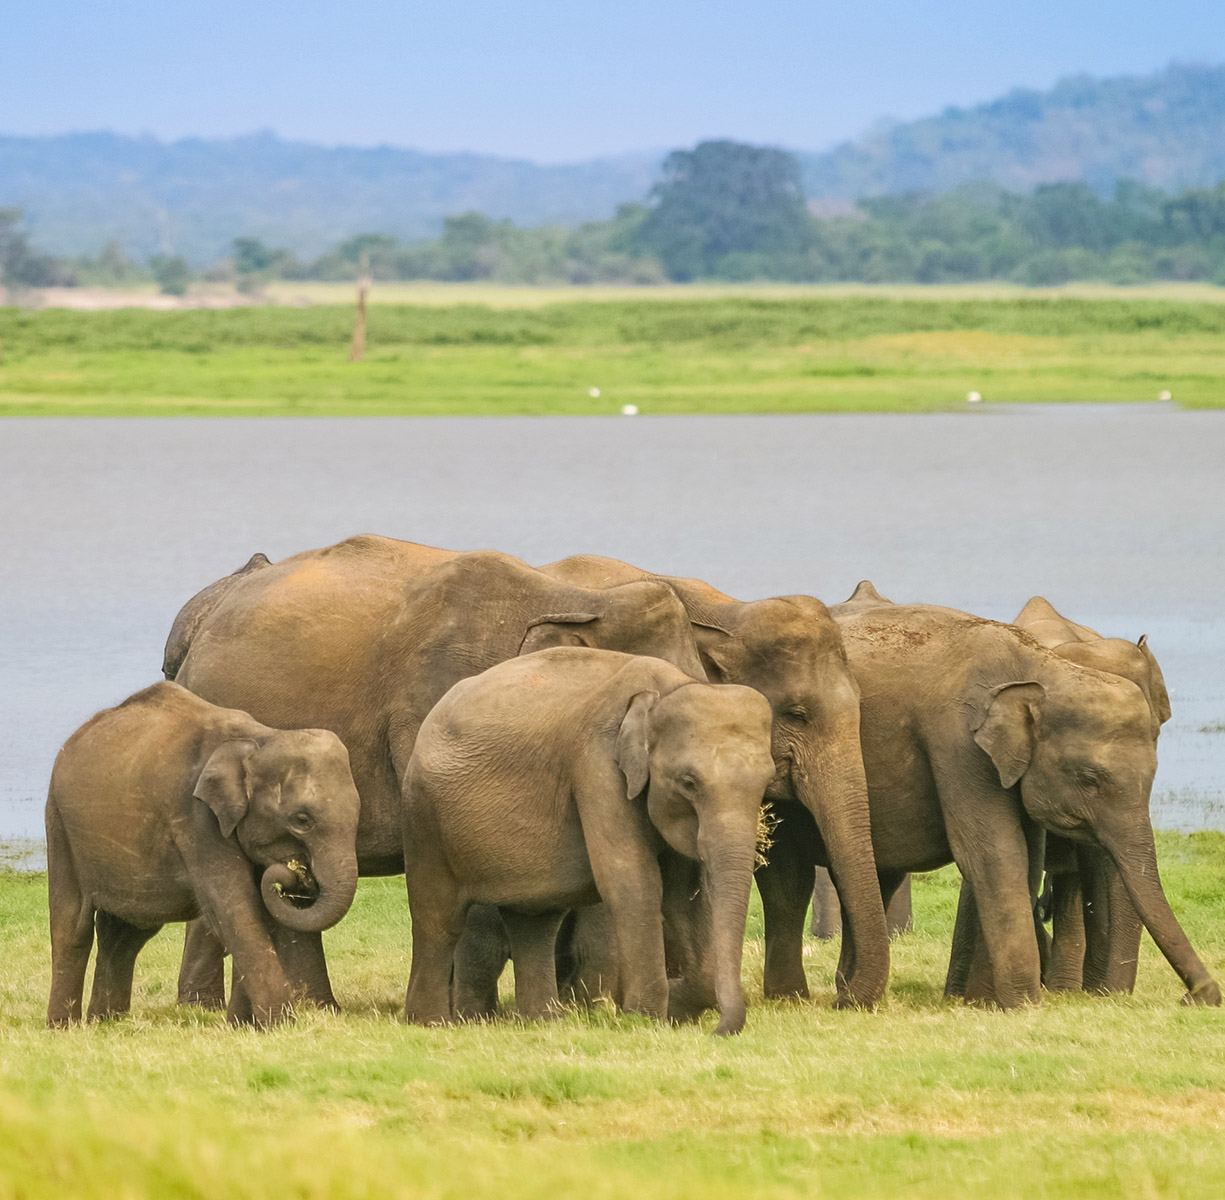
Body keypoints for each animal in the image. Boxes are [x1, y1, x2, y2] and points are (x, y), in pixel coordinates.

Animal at [49, 680, 362, 1028]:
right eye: (302, 820)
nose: (297, 873)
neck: (259, 739)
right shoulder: (195, 818)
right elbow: (235, 907)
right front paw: (281, 1024)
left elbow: (256, 911)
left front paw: (244, 1026)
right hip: (59, 824)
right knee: (72, 927)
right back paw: (62, 1028)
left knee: (126, 932)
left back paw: (106, 1023)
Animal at [401, 646, 769, 1033]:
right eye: (688, 782)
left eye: (767, 781)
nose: (718, 1031)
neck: (665, 690)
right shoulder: (597, 767)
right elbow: (633, 882)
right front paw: (642, 1018)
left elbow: (685, 897)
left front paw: (675, 1008)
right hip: (426, 819)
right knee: (439, 919)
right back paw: (431, 1023)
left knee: (535, 922)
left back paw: (543, 1021)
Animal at [764, 604, 1215, 1008]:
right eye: (1089, 779)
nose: (1198, 996)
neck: (1042, 666)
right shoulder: (959, 741)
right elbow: (993, 852)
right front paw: (1022, 1003)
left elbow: (1026, 858)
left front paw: (984, 1003)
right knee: (793, 875)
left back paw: (845, 993)